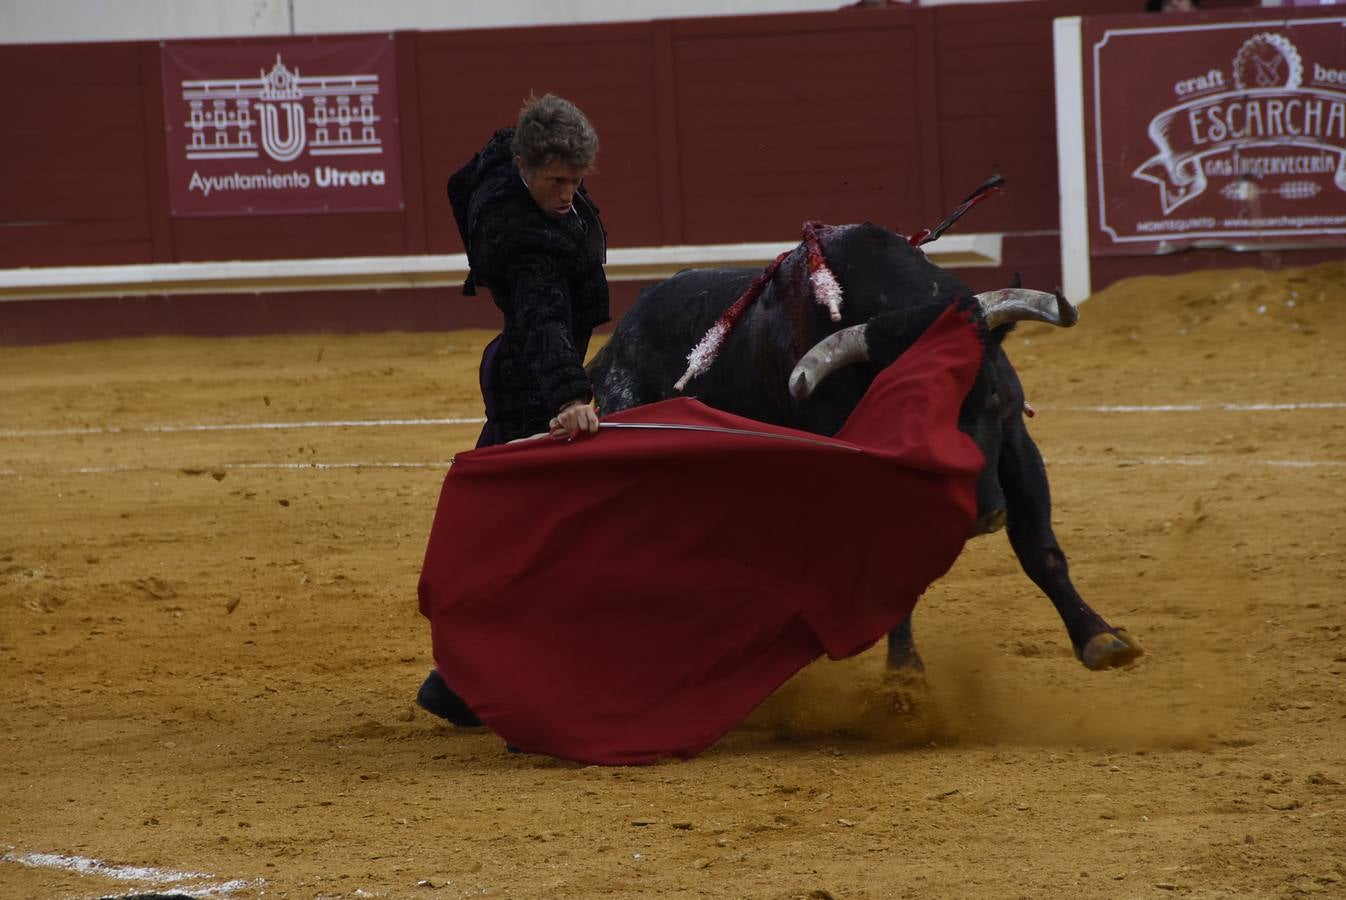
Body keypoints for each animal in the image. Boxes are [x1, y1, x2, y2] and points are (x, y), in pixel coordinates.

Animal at [584, 220, 1141, 669]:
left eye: (991, 396)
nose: (983, 513)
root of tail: (612, 350)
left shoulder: (1015, 443)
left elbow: (1038, 546)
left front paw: (1100, 639)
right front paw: (904, 675)